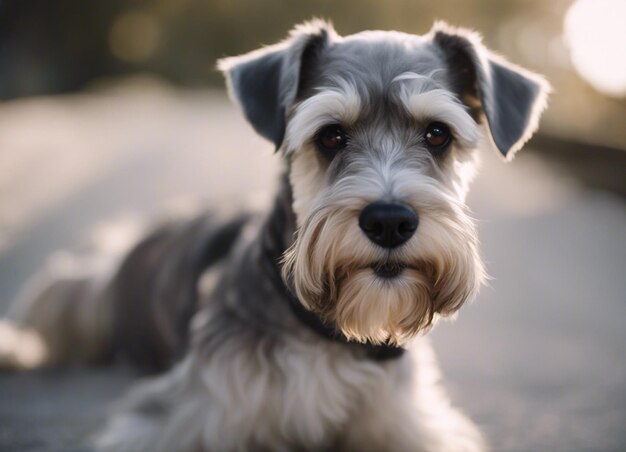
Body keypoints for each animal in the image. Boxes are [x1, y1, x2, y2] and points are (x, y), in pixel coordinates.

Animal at [0, 19, 544, 450]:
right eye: (330, 135)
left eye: (437, 134)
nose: (389, 221)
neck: (328, 334)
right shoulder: (175, 421)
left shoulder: (412, 425)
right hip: (77, 288)